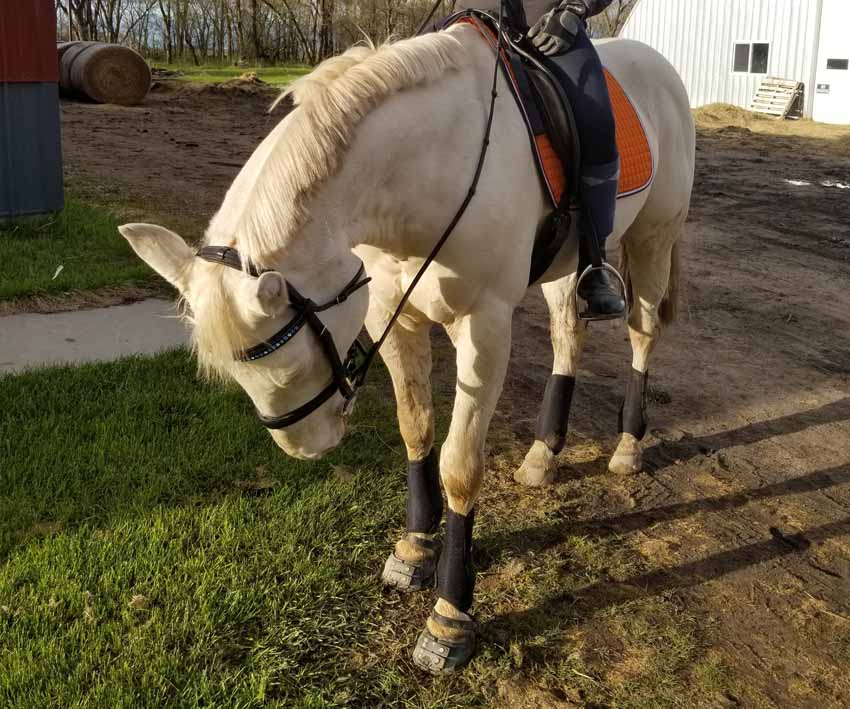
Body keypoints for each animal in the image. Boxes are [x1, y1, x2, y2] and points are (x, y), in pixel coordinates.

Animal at [119, 24, 692, 672]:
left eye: (289, 366)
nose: (306, 448)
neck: (424, 172)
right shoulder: (395, 321)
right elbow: (416, 430)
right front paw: (416, 549)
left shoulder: (484, 328)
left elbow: (461, 466)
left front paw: (450, 613)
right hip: (566, 264)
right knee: (569, 334)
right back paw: (543, 456)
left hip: (654, 237)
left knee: (641, 332)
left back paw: (628, 445)